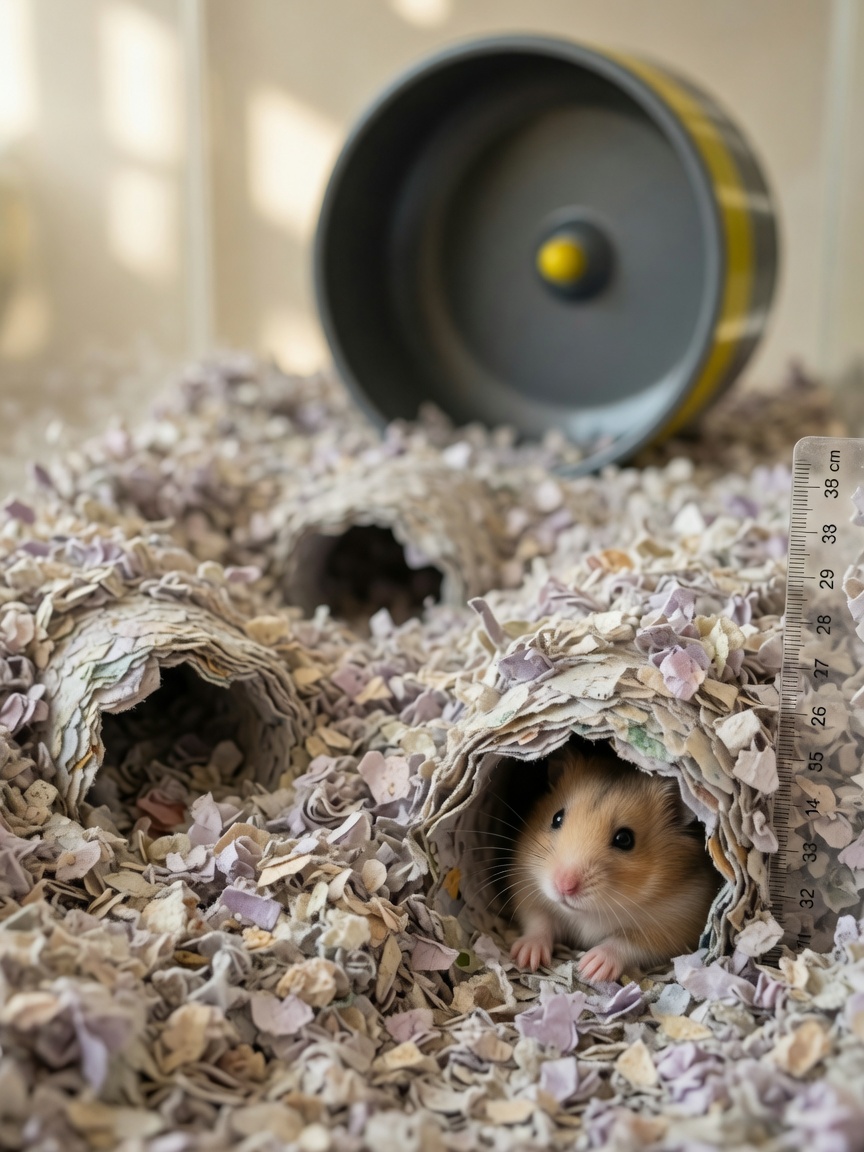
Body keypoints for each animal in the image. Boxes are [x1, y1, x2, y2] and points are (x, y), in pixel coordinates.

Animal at [507, 742, 721, 982]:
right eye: (556, 818)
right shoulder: (526, 888)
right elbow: (539, 921)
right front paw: (525, 957)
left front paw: (590, 968)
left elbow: (626, 944)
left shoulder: (676, 926)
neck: (589, 913)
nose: (563, 886)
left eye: (624, 839)